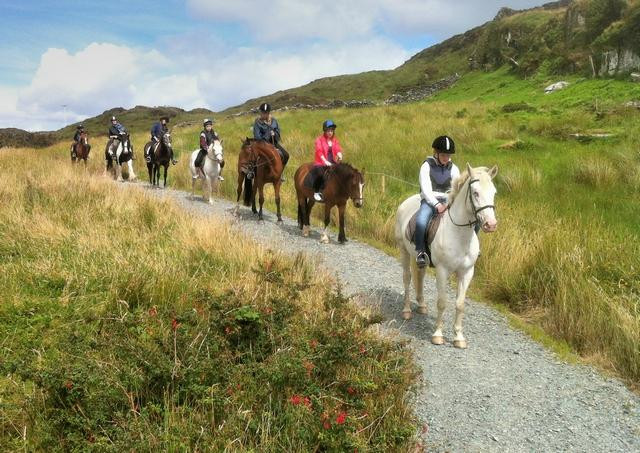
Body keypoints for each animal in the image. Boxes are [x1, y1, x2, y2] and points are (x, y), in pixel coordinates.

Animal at [396, 164, 500, 348]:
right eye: (475, 193)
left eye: (494, 192)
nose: (491, 225)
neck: (460, 235)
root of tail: (406, 202)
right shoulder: (442, 271)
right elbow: (442, 302)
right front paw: (438, 335)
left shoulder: (466, 273)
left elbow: (460, 304)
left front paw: (459, 337)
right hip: (404, 251)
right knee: (407, 279)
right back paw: (407, 311)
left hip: (419, 259)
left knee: (419, 276)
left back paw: (421, 305)